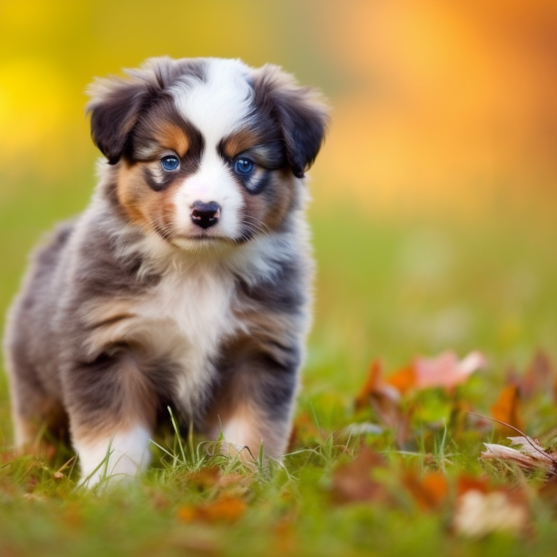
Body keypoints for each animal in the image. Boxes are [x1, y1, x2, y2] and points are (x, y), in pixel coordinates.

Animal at [3, 54, 326, 484]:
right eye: (169, 161)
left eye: (244, 164)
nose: (205, 211)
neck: (197, 269)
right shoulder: (109, 345)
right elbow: (114, 436)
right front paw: (112, 488)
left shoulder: (259, 349)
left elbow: (251, 432)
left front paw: (246, 484)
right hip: (33, 374)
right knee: (37, 421)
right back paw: (34, 462)